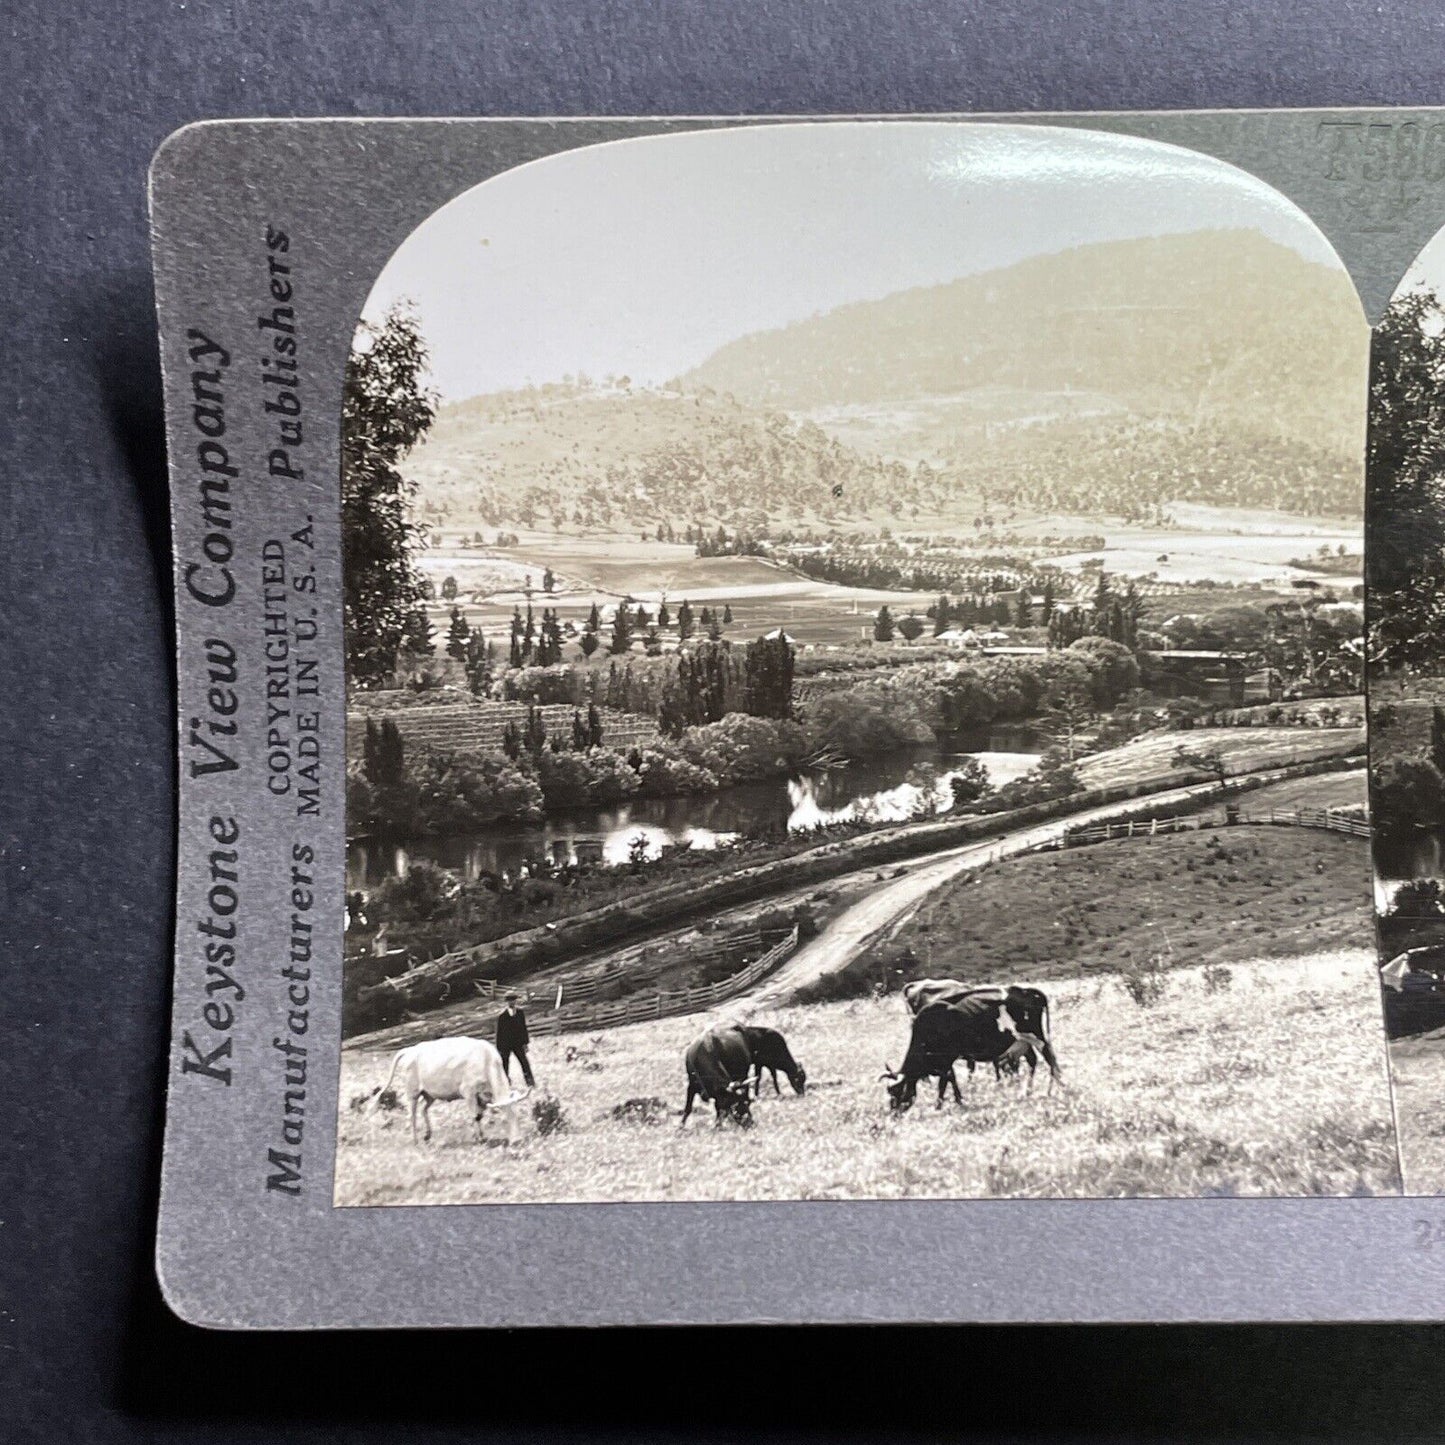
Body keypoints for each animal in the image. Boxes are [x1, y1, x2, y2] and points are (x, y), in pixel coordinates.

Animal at [372, 1034, 531, 1144]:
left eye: (518, 1115)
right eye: (505, 1117)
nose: (517, 1141)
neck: (485, 1061)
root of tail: (410, 1050)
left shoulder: (482, 1097)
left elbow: (480, 1115)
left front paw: (481, 1136)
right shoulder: (468, 1092)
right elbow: (475, 1116)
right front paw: (479, 1139)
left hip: (429, 1094)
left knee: (423, 1109)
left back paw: (427, 1135)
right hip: (412, 1092)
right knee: (412, 1115)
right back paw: (415, 1140)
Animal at [878, 988, 1063, 1109]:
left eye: (896, 1092)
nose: (895, 1114)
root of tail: (1027, 991)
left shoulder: (946, 1059)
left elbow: (944, 1083)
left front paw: (939, 1105)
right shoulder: (946, 1061)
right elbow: (952, 1078)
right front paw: (959, 1100)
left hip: (1036, 1036)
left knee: (1049, 1058)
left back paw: (1057, 1088)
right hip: (1023, 1041)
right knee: (1035, 1060)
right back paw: (1029, 1091)